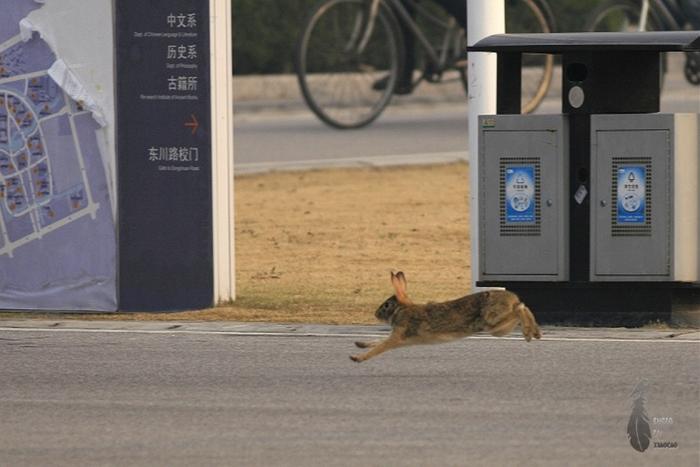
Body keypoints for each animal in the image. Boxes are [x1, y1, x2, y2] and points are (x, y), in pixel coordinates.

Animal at [350, 272, 540, 364]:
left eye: (386, 305)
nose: (375, 314)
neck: (403, 309)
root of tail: (512, 297)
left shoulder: (397, 337)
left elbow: (380, 347)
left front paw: (357, 358)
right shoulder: (398, 337)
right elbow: (377, 341)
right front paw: (360, 344)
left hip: (493, 323)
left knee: (520, 308)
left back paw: (529, 333)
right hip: (499, 328)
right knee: (523, 307)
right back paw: (535, 333)